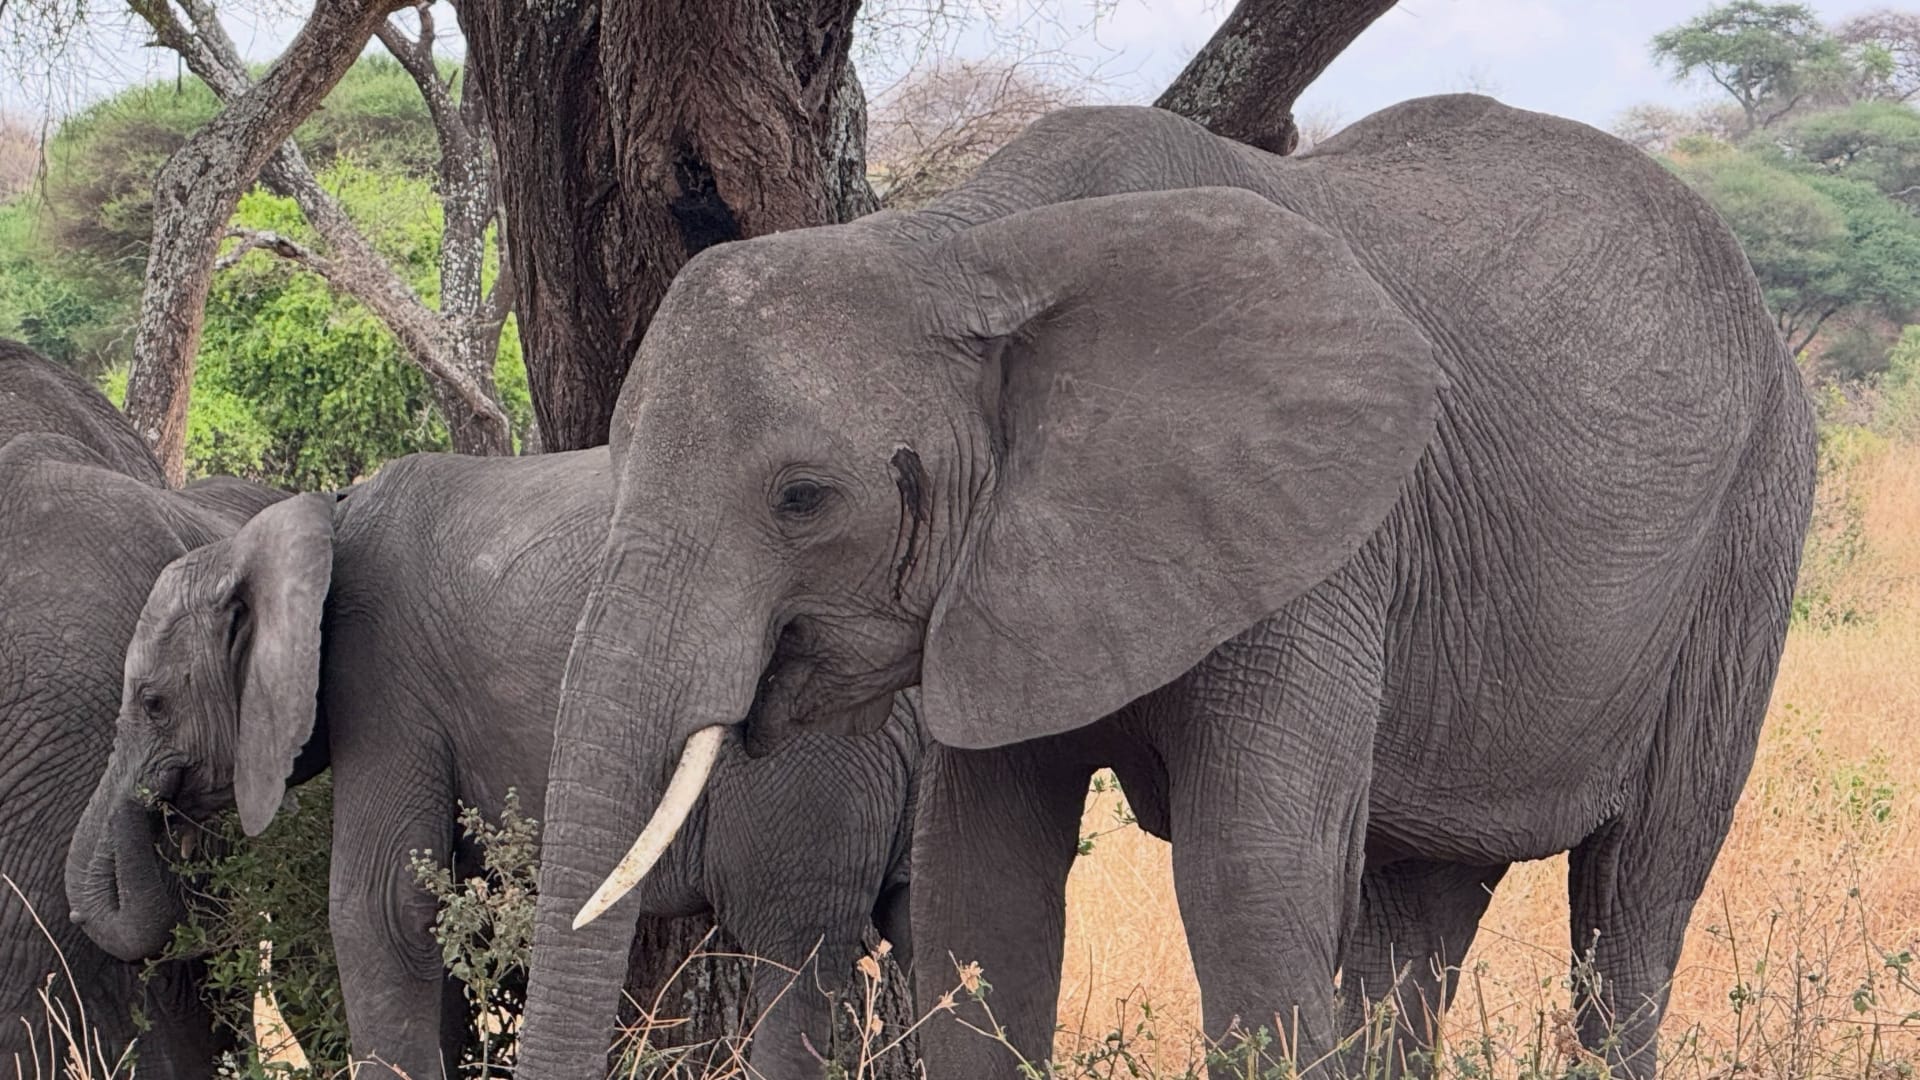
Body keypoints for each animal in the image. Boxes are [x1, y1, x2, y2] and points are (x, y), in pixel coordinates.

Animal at [68, 445, 922, 1079]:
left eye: (152, 702)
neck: (310, 521)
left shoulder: (382, 678)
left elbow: (380, 907)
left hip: (812, 768)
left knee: (792, 958)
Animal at [510, 95, 1818, 1080]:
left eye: (802, 498)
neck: (961, 247)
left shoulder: (1318, 543)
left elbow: (1251, 880)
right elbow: (982, 892)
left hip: (1755, 524)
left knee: (1635, 901)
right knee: (1421, 910)